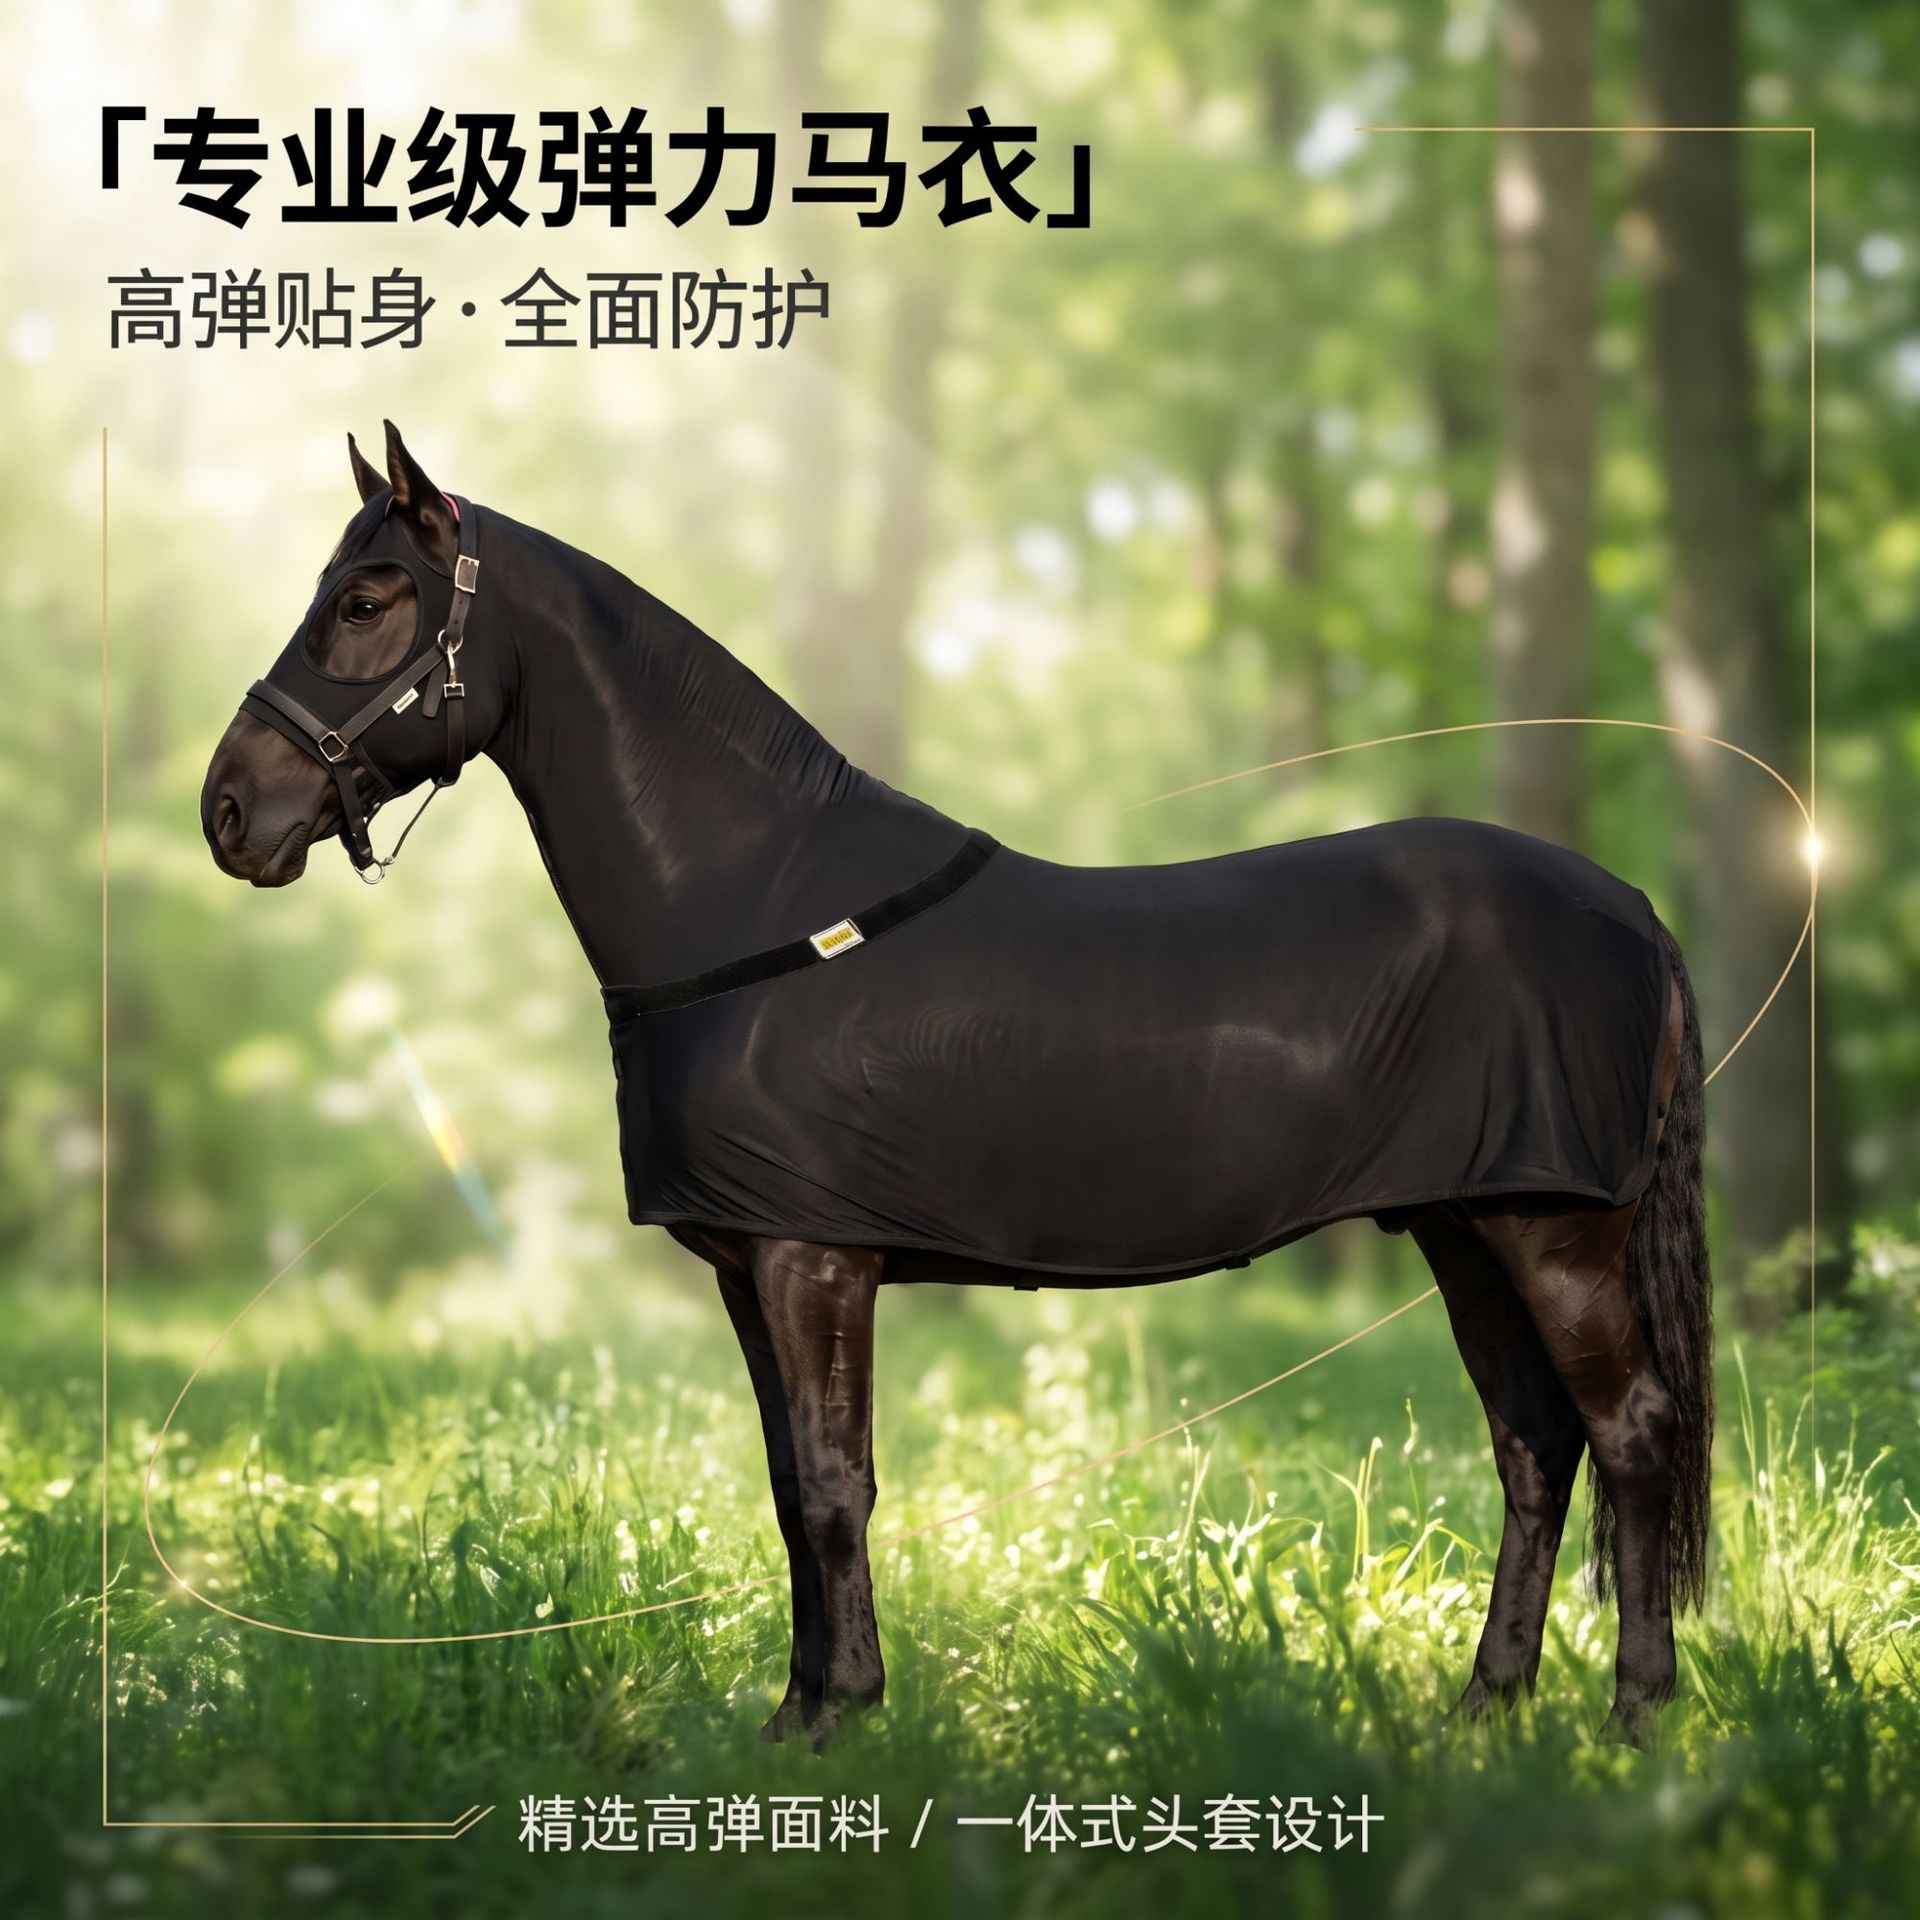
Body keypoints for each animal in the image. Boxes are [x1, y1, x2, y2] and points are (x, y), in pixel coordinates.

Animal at [201, 422, 1711, 1747]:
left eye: (369, 600)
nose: (228, 811)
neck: (757, 900)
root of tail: (1631, 905)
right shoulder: (748, 1265)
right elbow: (784, 1486)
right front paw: (794, 1715)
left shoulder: (814, 1258)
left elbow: (830, 1487)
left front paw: (842, 1719)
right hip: (1466, 1225)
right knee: (1535, 1444)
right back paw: (1487, 1709)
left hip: (1553, 1228)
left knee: (1631, 1432)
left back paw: (1637, 1717)